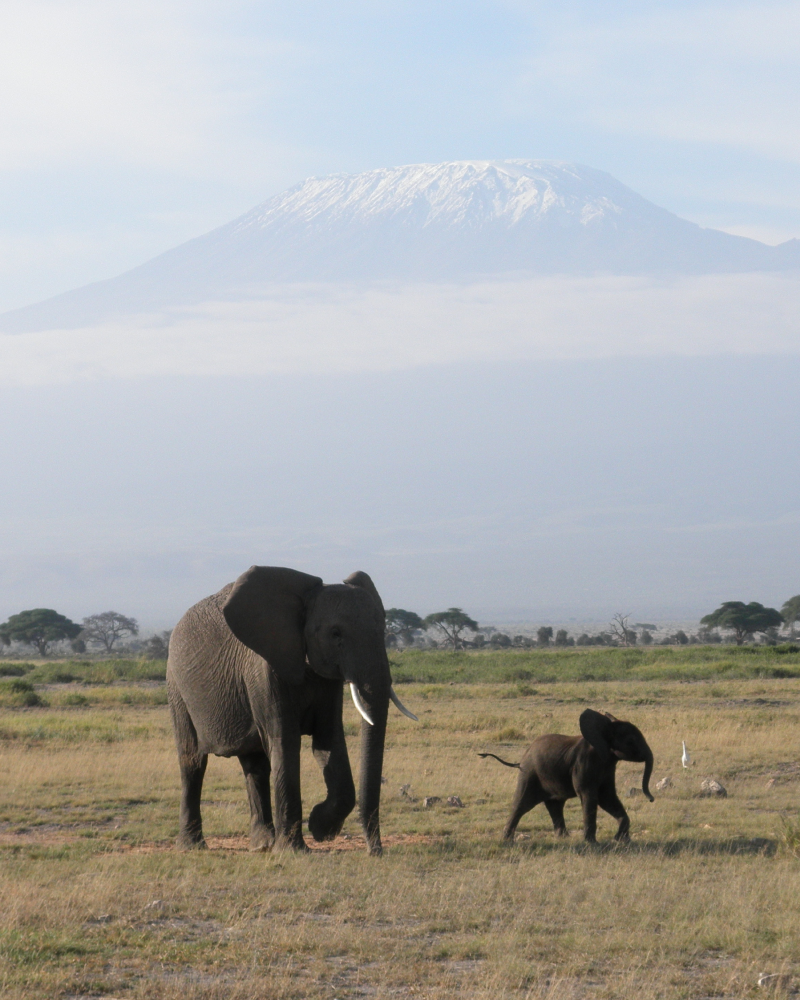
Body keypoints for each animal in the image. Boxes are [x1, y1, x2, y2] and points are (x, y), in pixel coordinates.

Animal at [166, 568, 416, 856]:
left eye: (382, 630)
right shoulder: (263, 672)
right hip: (176, 687)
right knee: (192, 761)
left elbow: (329, 741)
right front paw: (295, 850)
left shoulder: (326, 679)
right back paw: (192, 846)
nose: (375, 851)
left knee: (255, 765)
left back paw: (262, 844)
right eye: (335, 634)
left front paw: (320, 828)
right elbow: (285, 743)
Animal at [478, 712, 652, 844]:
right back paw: (507, 839)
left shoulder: (608, 766)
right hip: (529, 773)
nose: (651, 799)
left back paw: (562, 838)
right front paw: (591, 843)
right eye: (631, 740)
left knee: (555, 805)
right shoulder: (584, 763)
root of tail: (522, 758)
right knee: (521, 804)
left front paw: (621, 841)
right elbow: (590, 796)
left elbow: (607, 797)